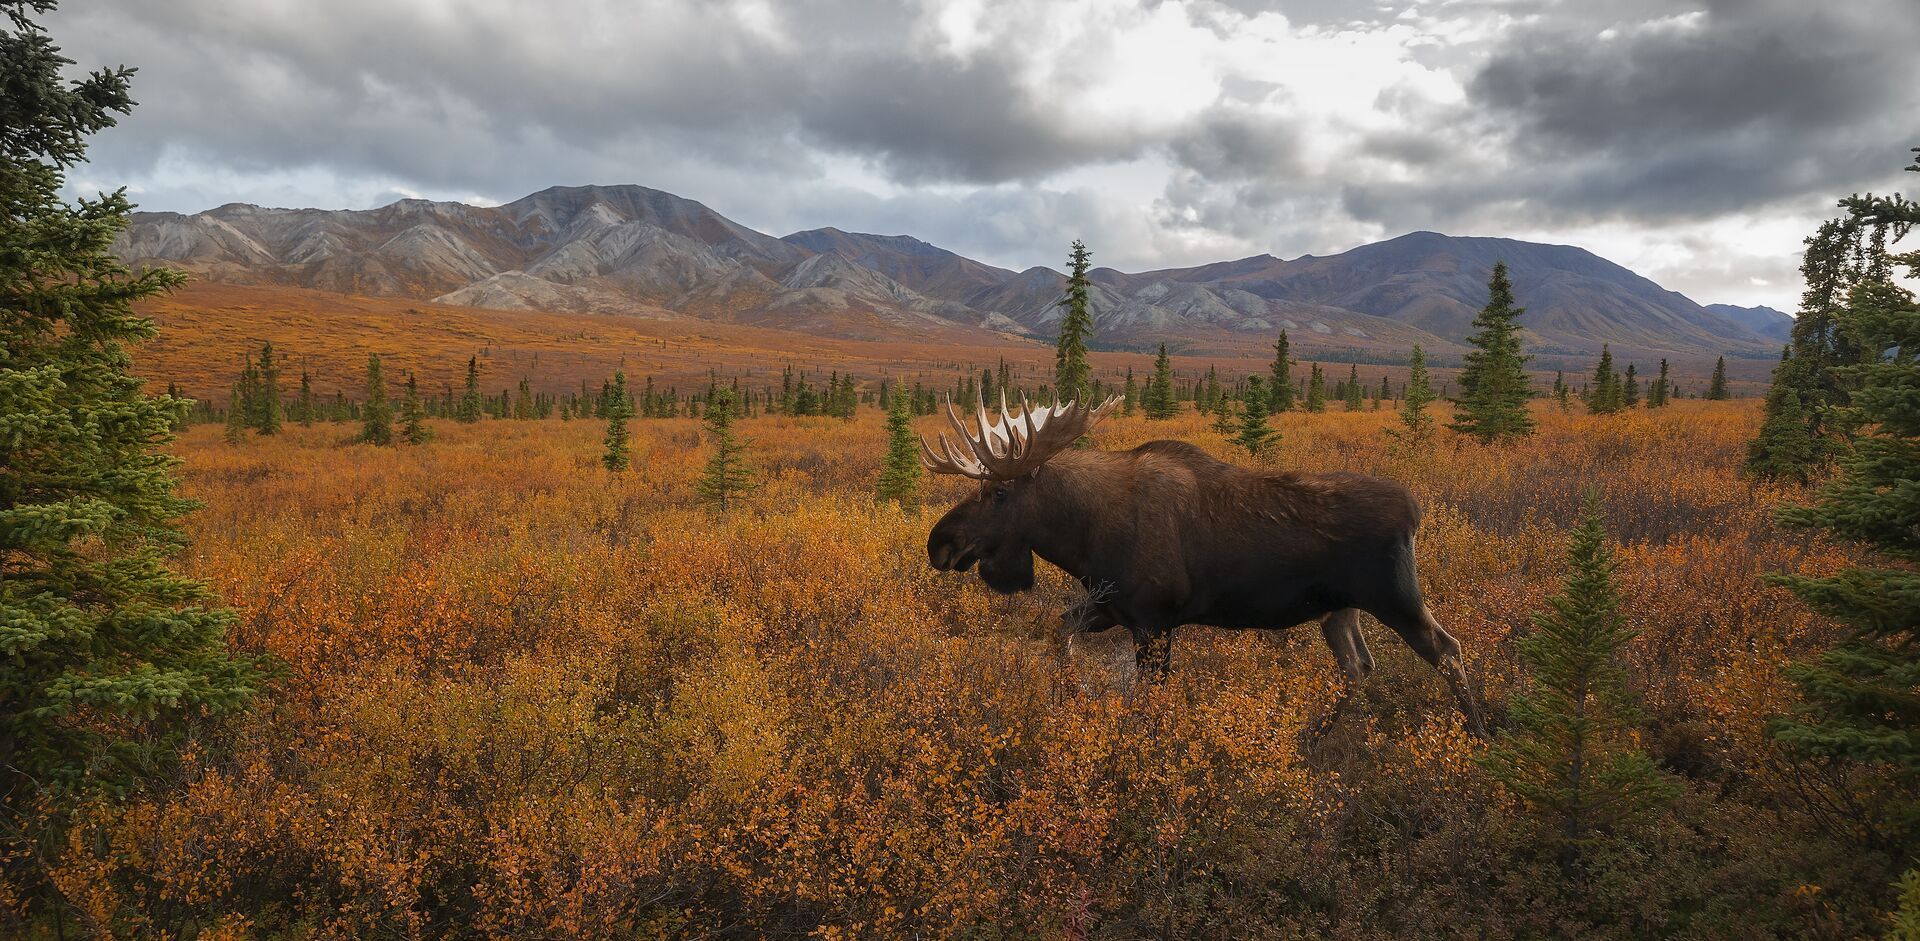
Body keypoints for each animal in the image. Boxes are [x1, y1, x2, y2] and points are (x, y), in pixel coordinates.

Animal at [913, 393, 1482, 729]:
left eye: (999, 493)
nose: (938, 543)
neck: (1082, 534)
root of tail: (1414, 509)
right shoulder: (1111, 607)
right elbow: (1060, 631)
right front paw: (1070, 693)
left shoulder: (1154, 619)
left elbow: (1150, 701)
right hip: (1338, 611)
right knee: (1358, 667)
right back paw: (1320, 733)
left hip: (1395, 596)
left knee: (1447, 650)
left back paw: (1478, 733)